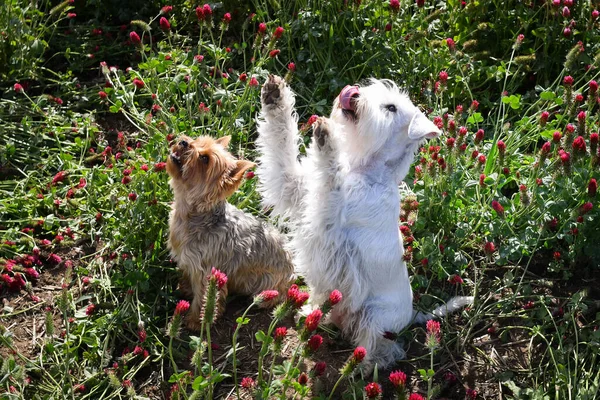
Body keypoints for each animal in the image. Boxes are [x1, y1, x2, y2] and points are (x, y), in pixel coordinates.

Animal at [166, 136, 292, 330]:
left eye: (204, 159)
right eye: (197, 139)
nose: (184, 141)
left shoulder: (206, 272)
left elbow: (203, 299)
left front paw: (196, 321)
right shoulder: (188, 260)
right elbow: (188, 277)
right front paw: (185, 288)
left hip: (269, 283)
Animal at [255, 74, 472, 368]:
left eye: (391, 108)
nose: (353, 94)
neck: (364, 168)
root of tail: (414, 314)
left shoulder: (327, 218)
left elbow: (330, 178)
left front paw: (328, 139)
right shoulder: (295, 188)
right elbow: (281, 144)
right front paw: (275, 95)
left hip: (374, 317)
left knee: (382, 349)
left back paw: (362, 367)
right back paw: (311, 313)